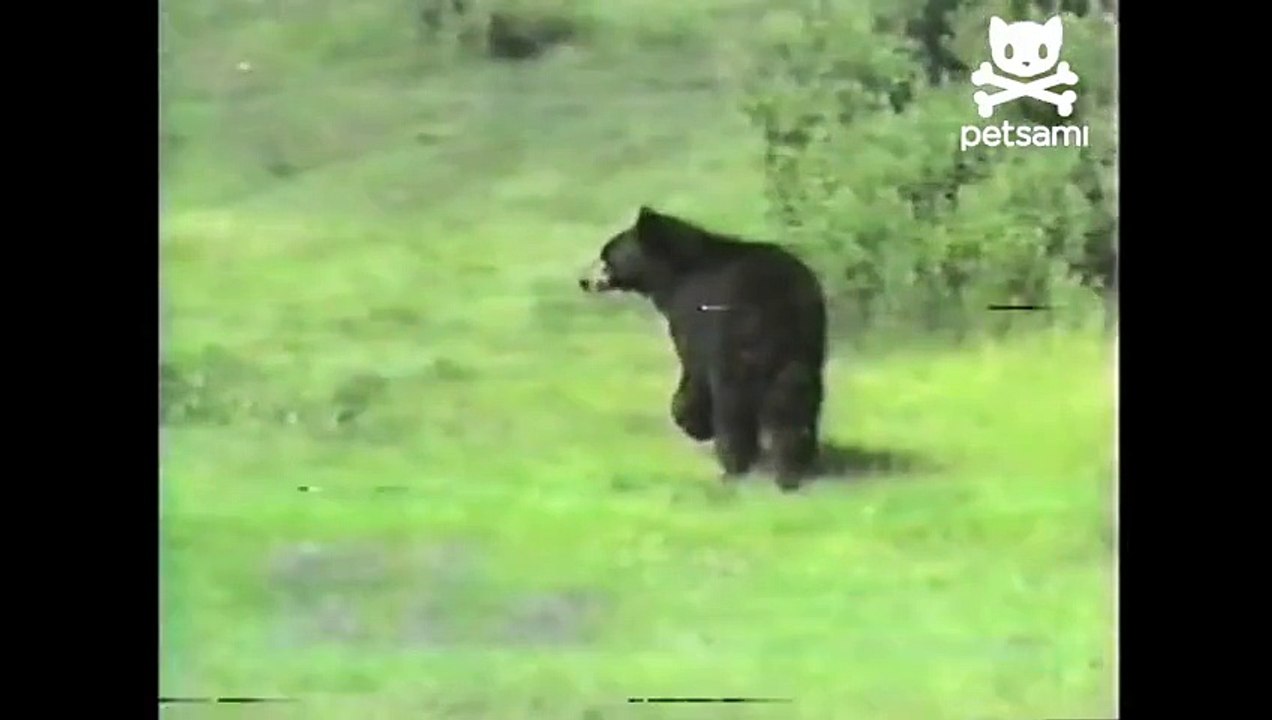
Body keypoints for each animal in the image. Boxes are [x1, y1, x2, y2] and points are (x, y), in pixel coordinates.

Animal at [578, 205, 828, 491]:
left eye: (606, 256)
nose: (584, 281)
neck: (676, 274)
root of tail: (780, 301)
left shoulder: (695, 322)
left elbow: (693, 373)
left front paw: (694, 424)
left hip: (739, 345)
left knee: (733, 405)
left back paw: (734, 466)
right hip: (801, 351)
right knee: (793, 404)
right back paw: (791, 470)